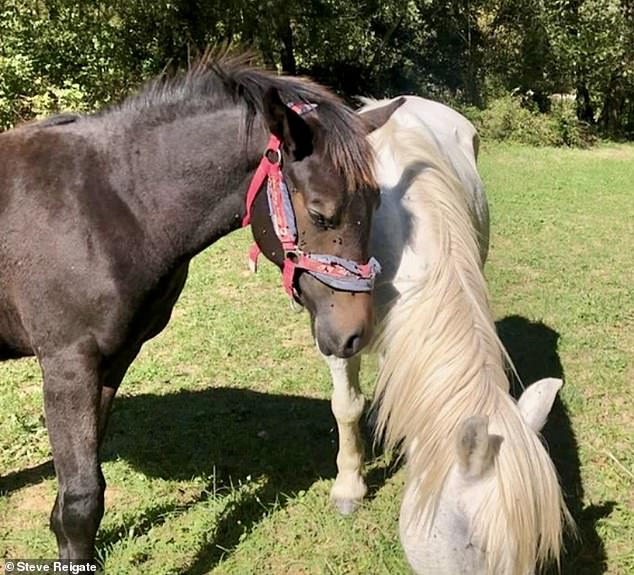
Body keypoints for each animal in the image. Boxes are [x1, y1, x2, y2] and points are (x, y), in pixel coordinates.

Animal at [0, 55, 400, 564]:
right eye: (321, 212)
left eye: (376, 202)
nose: (355, 335)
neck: (109, 204)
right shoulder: (67, 367)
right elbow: (80, 500)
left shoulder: (112, 362)